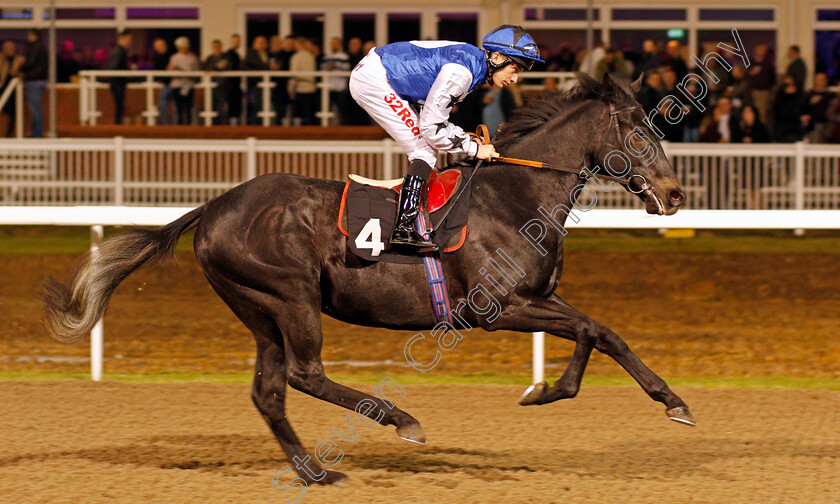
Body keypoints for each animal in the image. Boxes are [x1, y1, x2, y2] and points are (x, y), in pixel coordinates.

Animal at [42, 72, 692, 484]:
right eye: (640, 129)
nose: (675, 194)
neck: (516, 195)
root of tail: (214, 206)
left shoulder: (538, 298)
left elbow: (602, 332)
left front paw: (668, 401)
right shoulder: (498, 308)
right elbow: (589, 330)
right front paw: (550, 391)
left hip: (259, 311)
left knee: (269, 391)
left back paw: (315, 473)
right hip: (292, 296)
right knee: (304, 374)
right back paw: (401, 422)